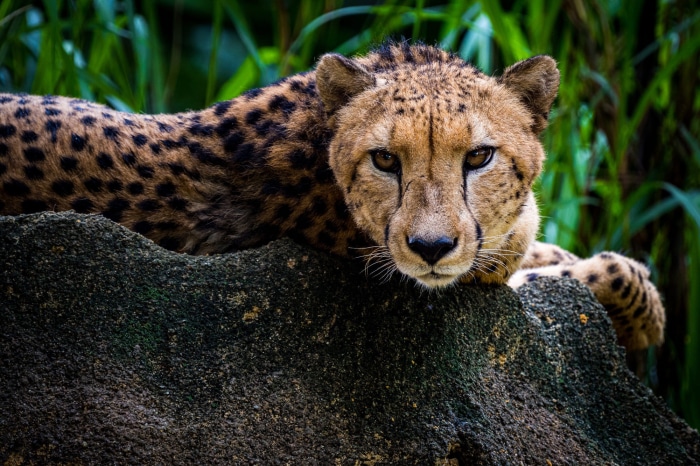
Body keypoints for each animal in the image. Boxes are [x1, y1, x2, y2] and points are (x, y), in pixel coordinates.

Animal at [0, 42, 664, 350]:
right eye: (385, 160)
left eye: (479, 157)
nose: (430, 247)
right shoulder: (441, 275)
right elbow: (570, 271)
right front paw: (643, 304)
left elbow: (542, 246)